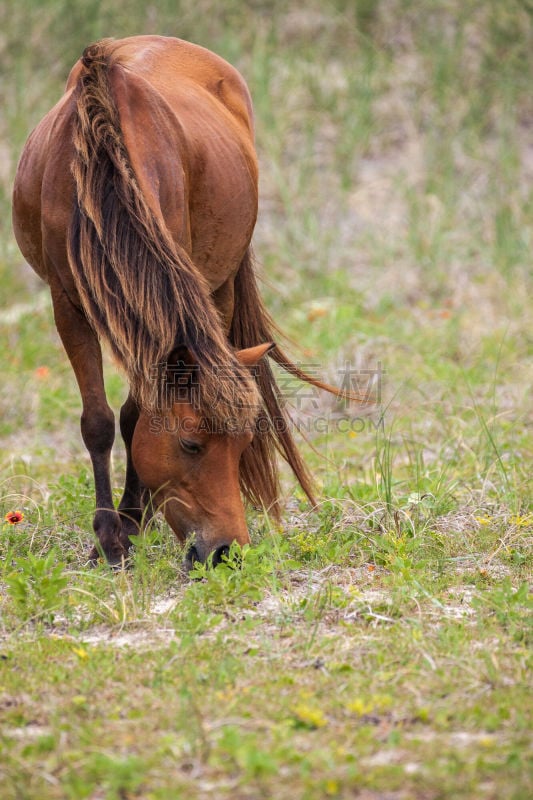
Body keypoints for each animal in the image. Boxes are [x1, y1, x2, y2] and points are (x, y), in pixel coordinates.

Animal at [13, 34, 344, 564]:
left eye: (244, 442)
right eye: (190, 444)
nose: (227, 551)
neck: (102, 175)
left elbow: (134, 417)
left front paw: (130, 522)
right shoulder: (67, 304)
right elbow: (98, 422)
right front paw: (108, 538)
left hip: (220, 284)